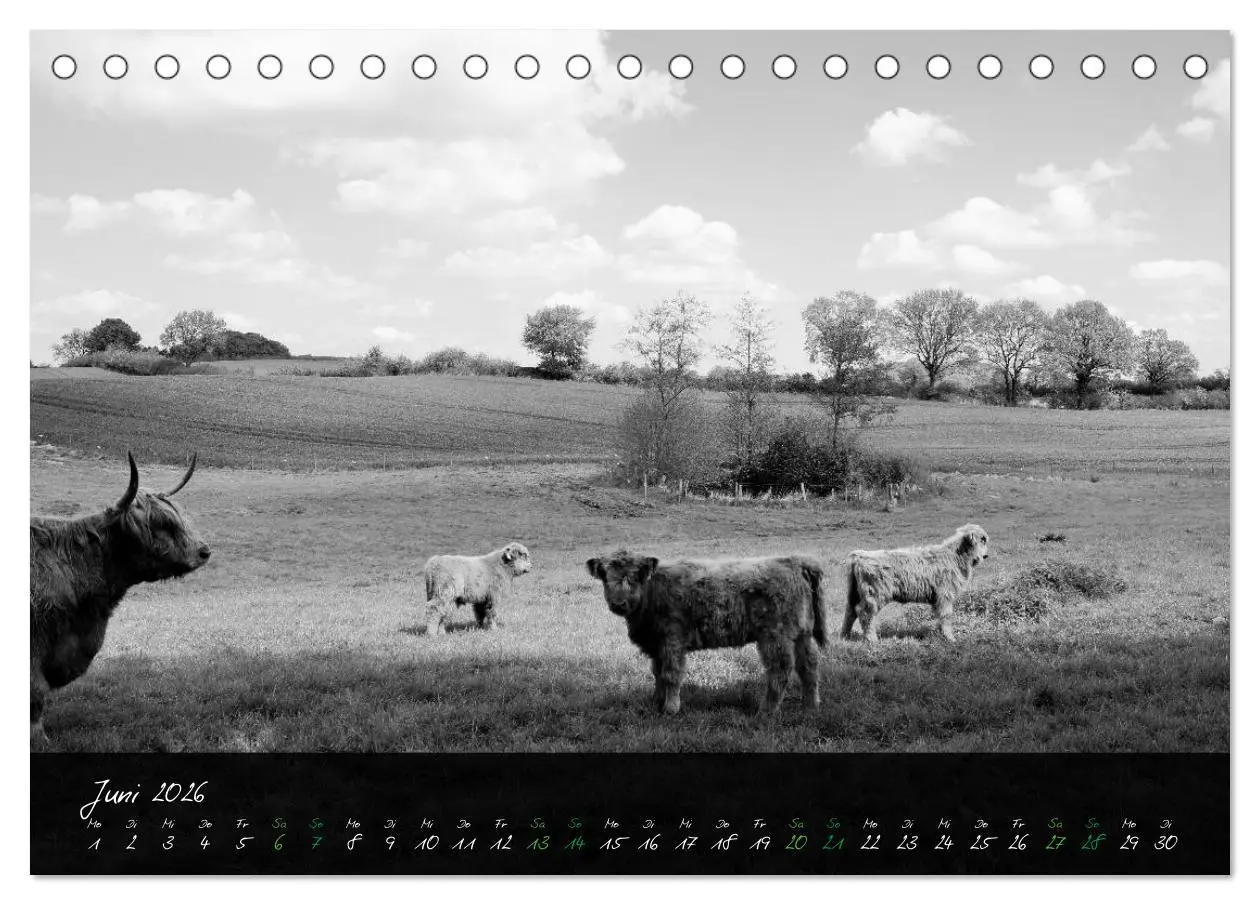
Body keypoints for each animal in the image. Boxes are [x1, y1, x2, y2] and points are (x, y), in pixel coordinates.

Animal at [585, 551, 827, 716]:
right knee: (809, 666)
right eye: (605, 577)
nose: (618, 603)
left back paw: (766, 711)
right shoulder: (657, 643)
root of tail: (792, 560)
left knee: (780, 671)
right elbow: (657, 673)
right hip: (801, 634)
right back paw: (810, 706)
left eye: (634, 577)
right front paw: (656, 701)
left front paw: (671, 708)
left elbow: (670, 674)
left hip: (775, 635)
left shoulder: (672, 639)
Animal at [840, 523, 989, 644]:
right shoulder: (945, 594)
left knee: (850, 612)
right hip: (874, 593)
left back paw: (844, 636)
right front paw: (950, 638)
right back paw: (872, 639)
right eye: (982, 540)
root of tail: (860, 556)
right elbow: (946, 616)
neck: (956, 556)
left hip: (854, 592)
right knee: (865, 613)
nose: (986, 555)